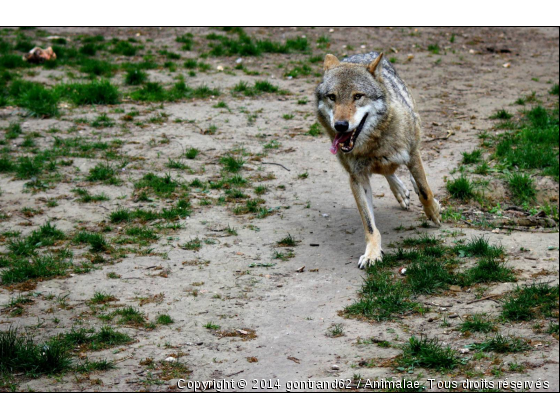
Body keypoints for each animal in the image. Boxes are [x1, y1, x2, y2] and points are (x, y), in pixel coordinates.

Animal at [316, 53, 442, 270]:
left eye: (358, 96)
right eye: (332, 97)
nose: (340, 125)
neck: (373, 145)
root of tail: (361, 54)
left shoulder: (412, 154)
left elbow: (425, 191)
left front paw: (433, 212)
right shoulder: (357, 178)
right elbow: (369, 225)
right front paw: (372, 254)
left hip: (415, 134)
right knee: (388, 171)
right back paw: (400, 191)